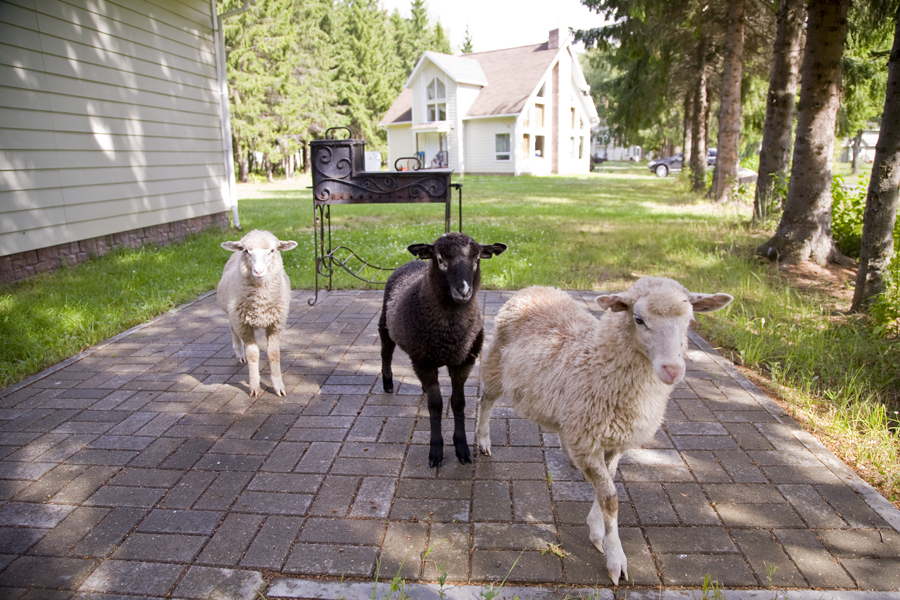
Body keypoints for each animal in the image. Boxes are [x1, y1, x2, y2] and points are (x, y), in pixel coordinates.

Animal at [217, 229, 298, 397]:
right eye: (246, 251)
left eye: (272, 250)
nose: (259, 271)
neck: (260, 302)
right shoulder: (244, 325)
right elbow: (253, 354)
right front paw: (254, 386)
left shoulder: (275, 324)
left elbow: (273, 353)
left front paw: (278, 386)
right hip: (232, 313)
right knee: (232, 329)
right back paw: (239, 353)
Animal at [380, 232, 507, 468]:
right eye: (440, 260)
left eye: (477, 259)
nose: (463, 290)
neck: (449, 332)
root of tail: (413, 261)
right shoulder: (424, 361)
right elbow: (436, 406)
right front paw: (436, 451)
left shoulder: (463, 361)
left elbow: (458, 403)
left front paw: (462, 448)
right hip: (385, 324)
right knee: (386, 352)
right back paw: (388, 383)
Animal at [475, 278, 733, 584]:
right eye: (638, 319)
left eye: (689, 321)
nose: (672, 369)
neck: (596, 361)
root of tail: (535, 287)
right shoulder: (589, 441)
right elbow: (610, 498)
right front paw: (615, 557)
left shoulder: (612, 441)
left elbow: (606, 485)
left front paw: (597, 530)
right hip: (495, 365)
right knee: (485, 401)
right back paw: (482, 440)